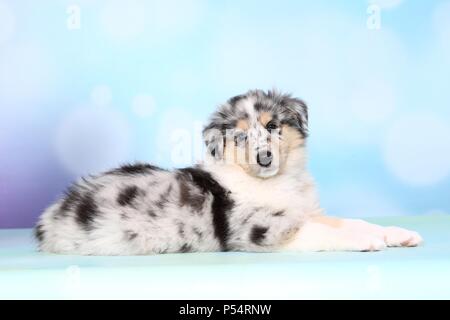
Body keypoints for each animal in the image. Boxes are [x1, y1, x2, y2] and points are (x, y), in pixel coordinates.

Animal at [34, 89, 422, 255]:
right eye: (240, 136)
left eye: (273, 126)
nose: (265, 157)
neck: (273, 183)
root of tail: (51, 214)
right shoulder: (260, 229)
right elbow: (324, 233)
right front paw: (364, 241)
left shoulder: (303, 211)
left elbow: (350, 221)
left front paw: (396, 234)